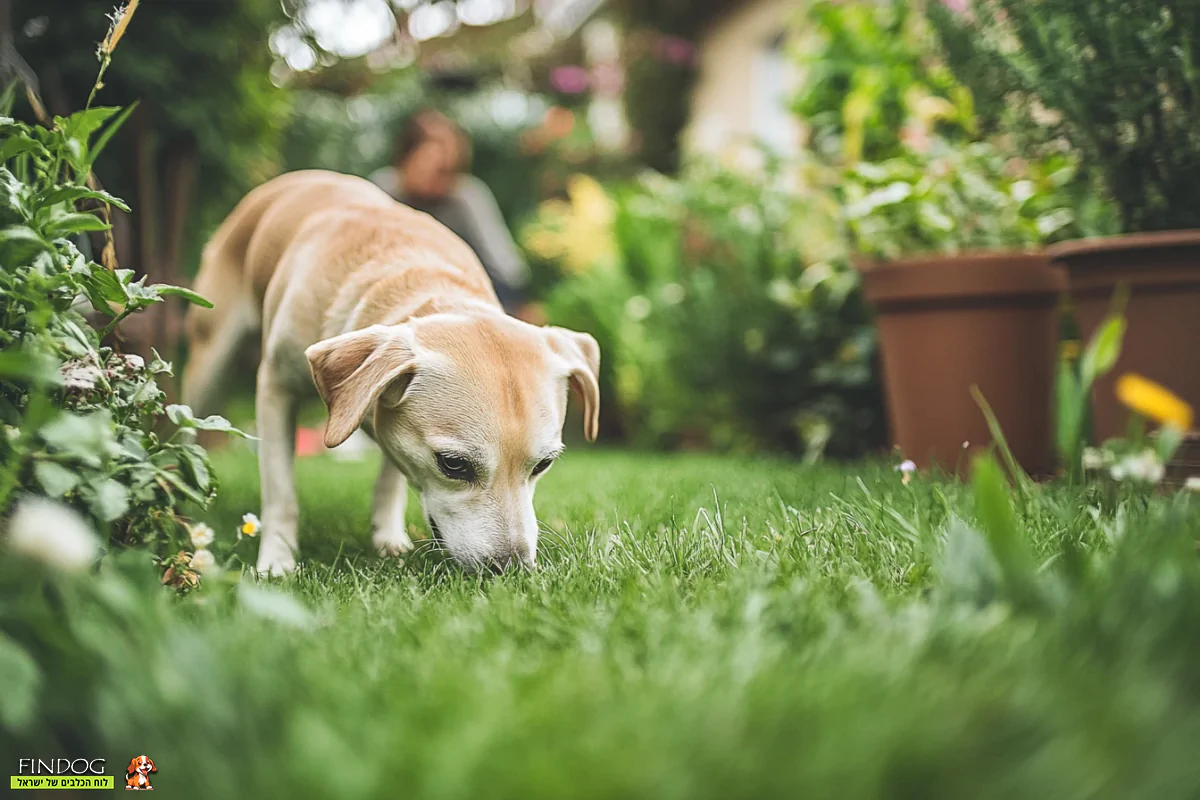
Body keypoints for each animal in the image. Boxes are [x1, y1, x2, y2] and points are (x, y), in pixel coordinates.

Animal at [183, 170, 600, 575]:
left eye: (543, 464)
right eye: (453, 464)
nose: (510, 568)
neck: (412, 273)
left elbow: (390, 476)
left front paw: (387, 538)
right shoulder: (275, 389)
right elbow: (281, 491)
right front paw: (277, 562)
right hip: (208, 357)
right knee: (187, 421)